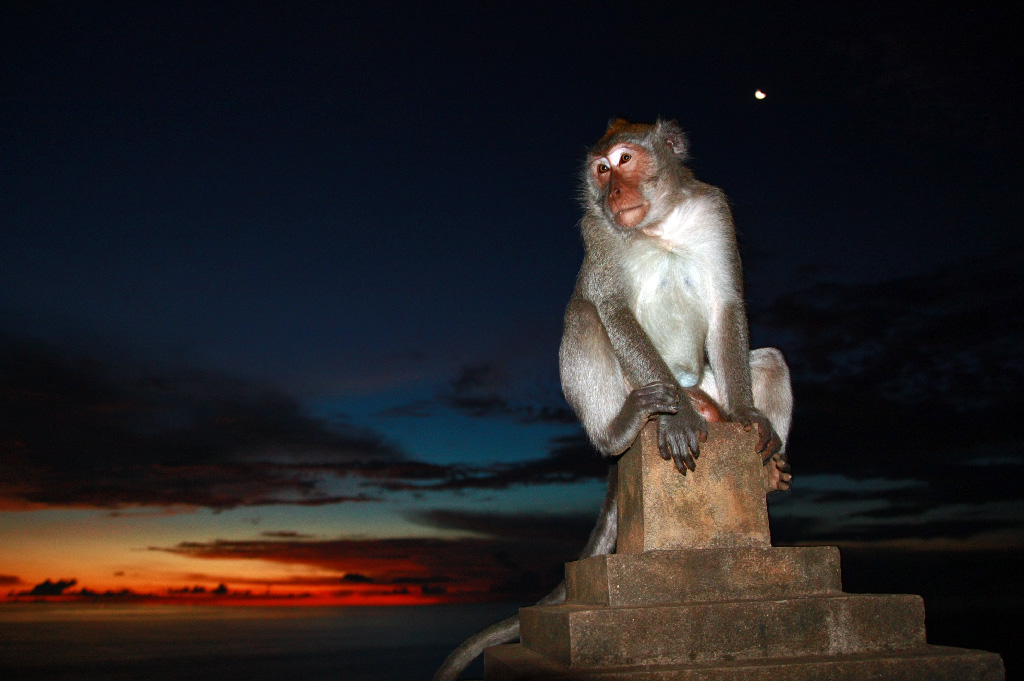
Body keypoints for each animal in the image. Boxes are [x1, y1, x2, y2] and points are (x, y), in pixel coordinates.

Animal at [432, 118, 790, 679]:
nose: (612, 192)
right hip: (632, 387)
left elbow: (726, 305)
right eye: (600, 170)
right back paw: (624, 429)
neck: (659, 227)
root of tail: (691, 386)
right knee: (583, 316)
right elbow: (610, 307)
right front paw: (678, 421)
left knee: (771, 360)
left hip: (707, 382)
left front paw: (748, 414)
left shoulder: (715, 212)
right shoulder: (597, 234)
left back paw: (763, 469)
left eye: (624, 160)